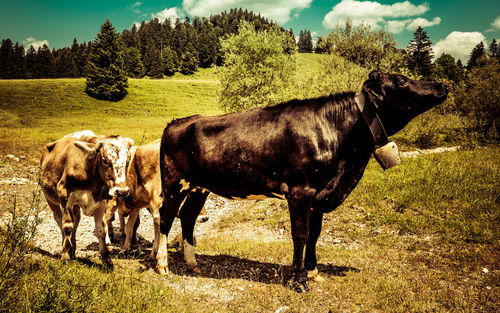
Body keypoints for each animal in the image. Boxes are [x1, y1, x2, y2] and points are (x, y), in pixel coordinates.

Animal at [41, 129, 134, 264]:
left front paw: (106, 260)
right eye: (105, 160)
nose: (122, 191)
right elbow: (67, 226)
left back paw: (73, 248)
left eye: (127, 161)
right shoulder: (64, 195)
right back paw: (66, 248)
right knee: (60, 221)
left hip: (74, 206)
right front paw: (65, 255)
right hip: (51, 200)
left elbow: (101, 229)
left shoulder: (100, 202)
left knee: (76, 221)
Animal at [157, 70, 450, 290]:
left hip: (199, 187)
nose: (443, 85)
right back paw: (162, 264)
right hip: (174, 182)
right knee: (166, 216)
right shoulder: (301, 190)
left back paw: (192, 263)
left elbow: (315, 234)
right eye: (400, 80)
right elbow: (301, 234)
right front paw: (298, 281)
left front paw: (312, 271)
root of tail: (176, 122)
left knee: (188, 217)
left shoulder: (320, 194)